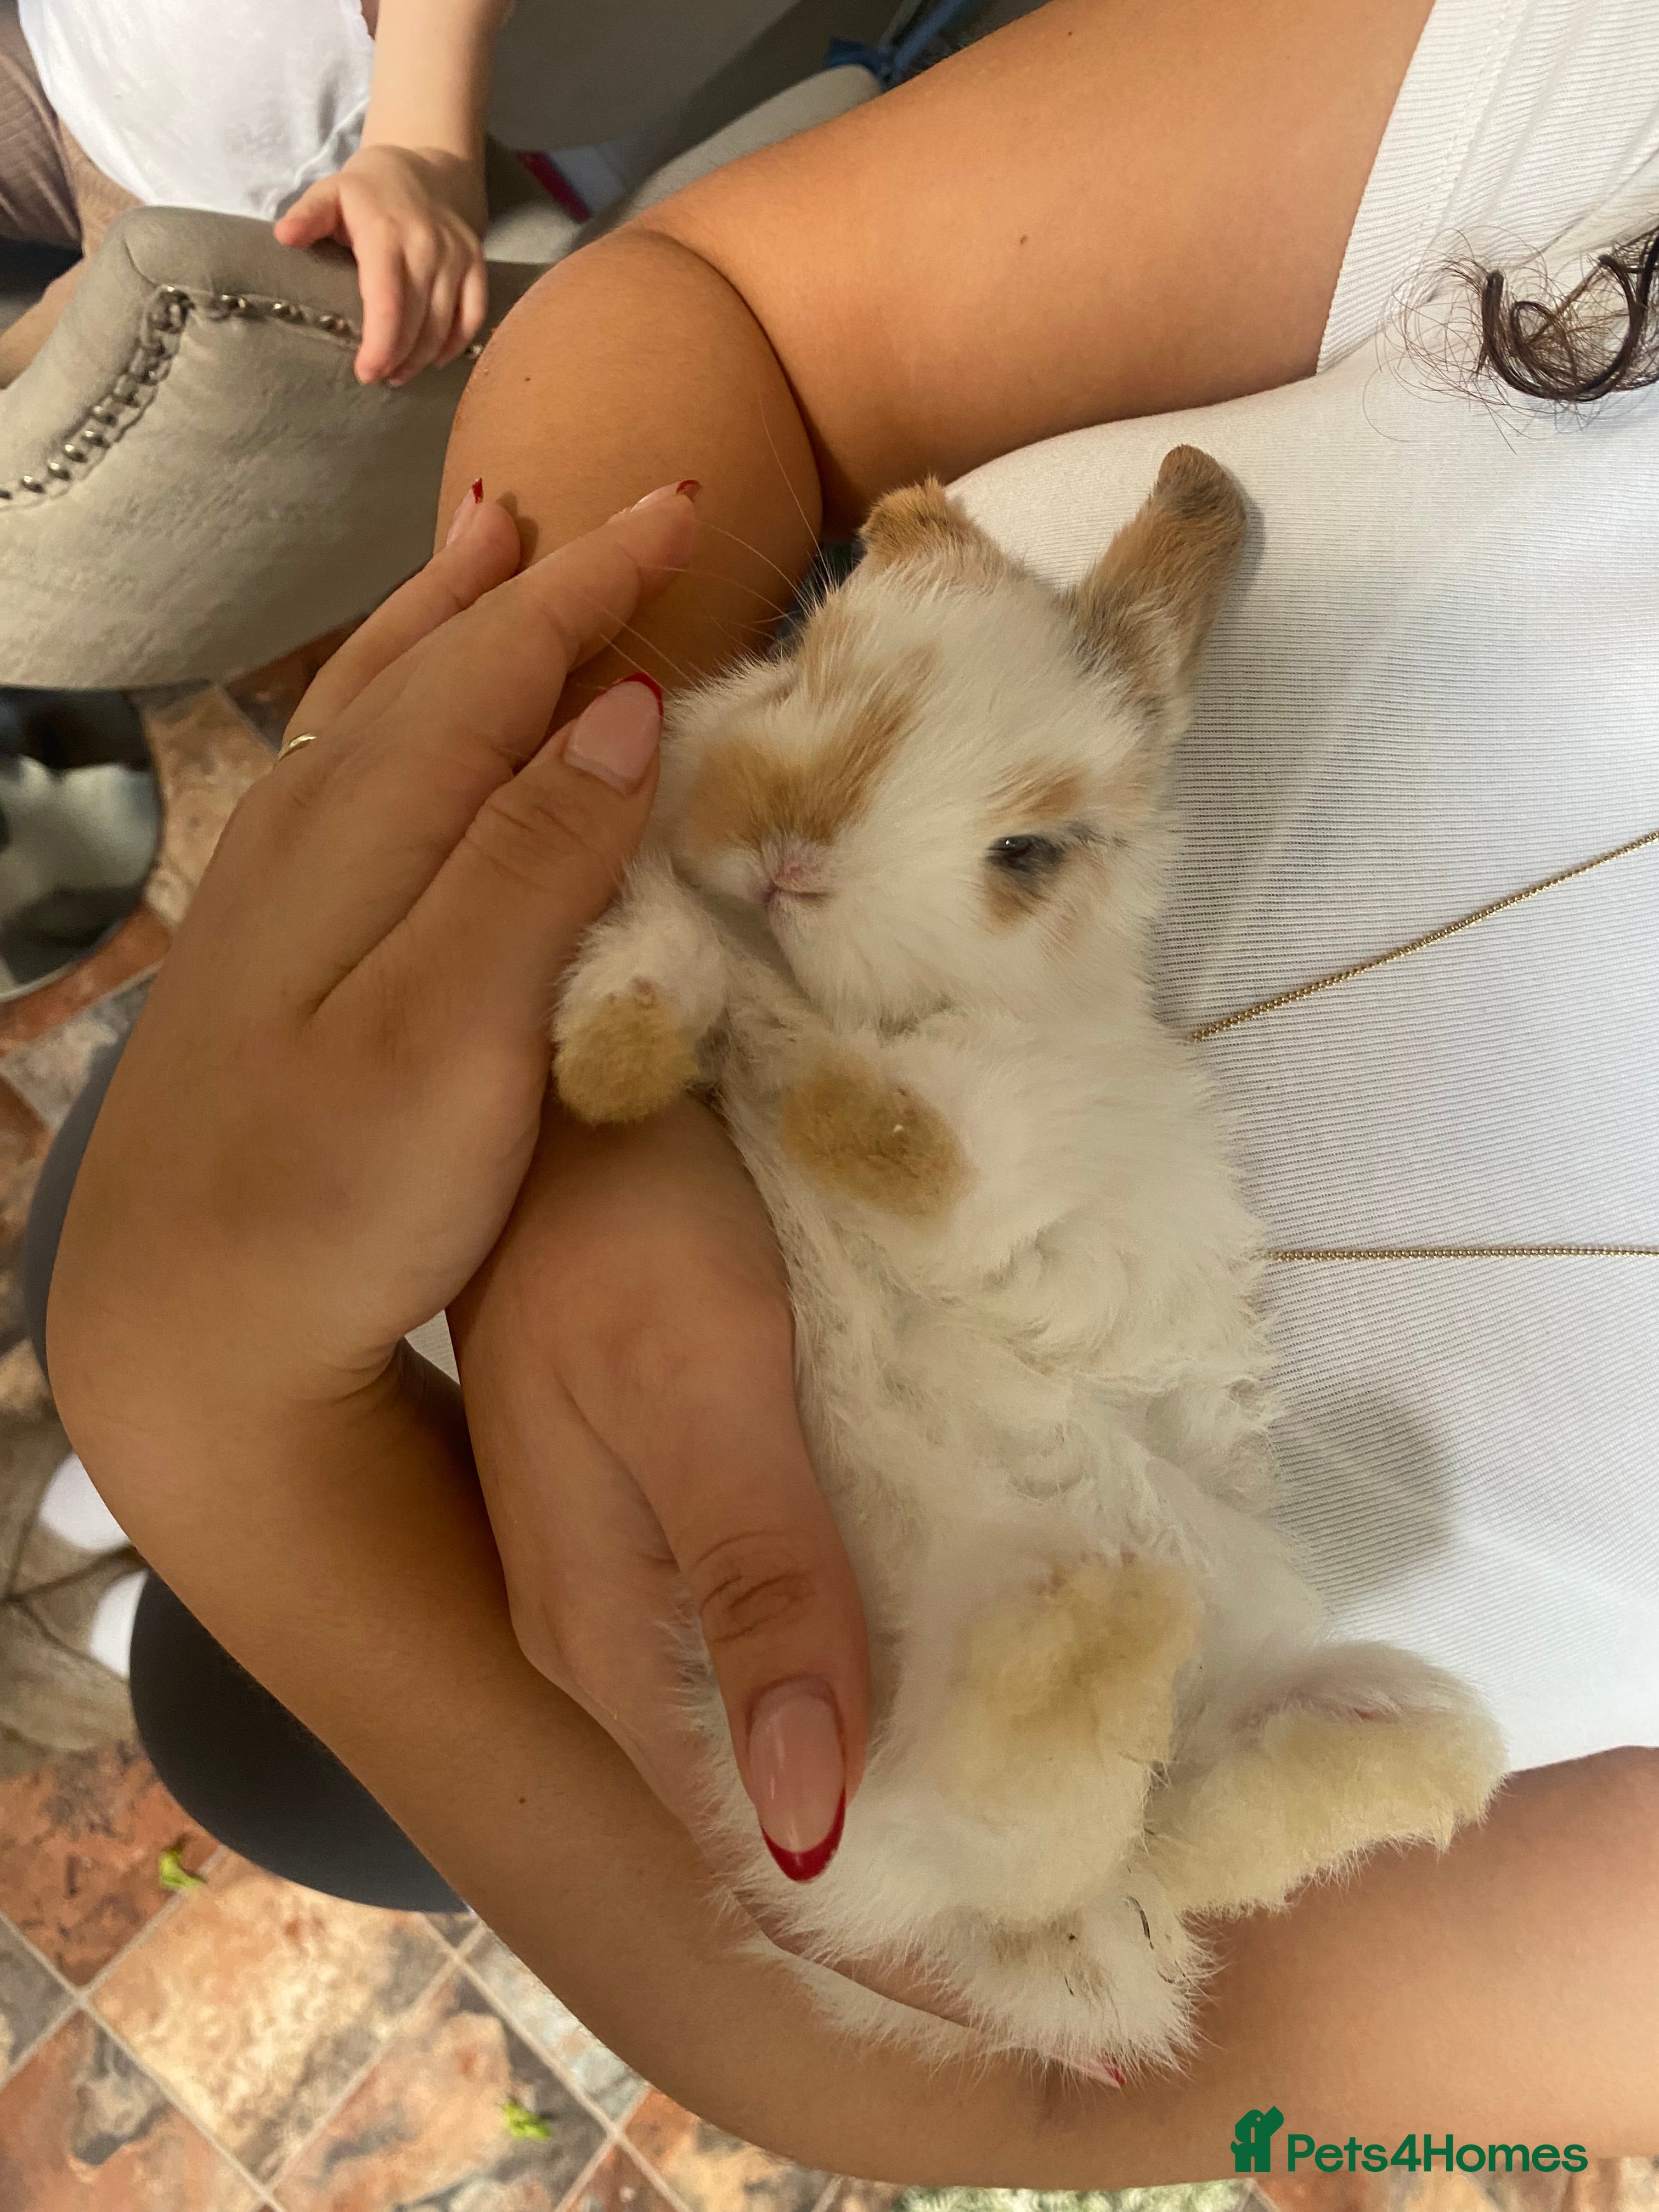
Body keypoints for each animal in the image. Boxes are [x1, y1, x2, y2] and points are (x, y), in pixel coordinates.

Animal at [550, 445, 1506, 2081]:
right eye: (803, 657)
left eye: (1029, 853)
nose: (792, 852)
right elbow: (657, 965)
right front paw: (618, 1061)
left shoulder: (1021, 1155)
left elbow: (909, 1145)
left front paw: (776, 1054)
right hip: (822, 1756)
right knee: (1044, 1834)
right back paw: (1098, 1641)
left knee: (1144, 1836)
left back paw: (1194, 1673)